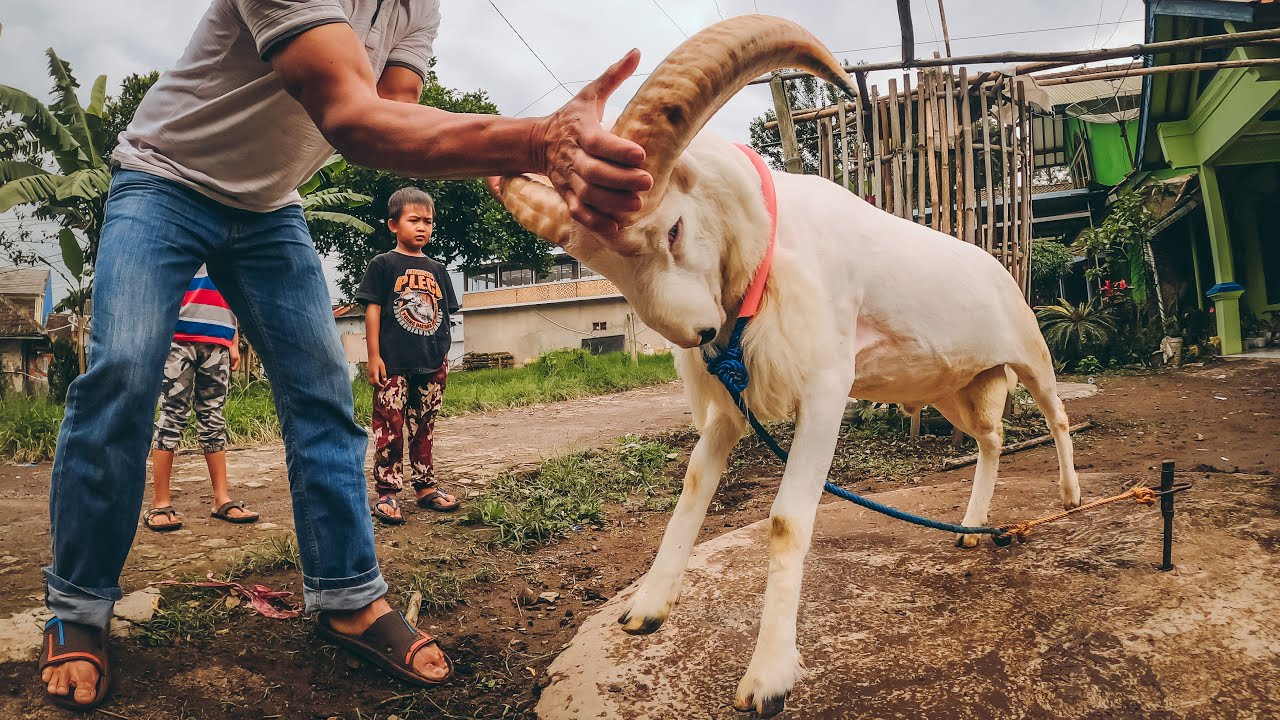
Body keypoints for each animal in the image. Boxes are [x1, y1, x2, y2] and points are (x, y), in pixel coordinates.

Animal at [492, 15, 1081, 717]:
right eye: (603, 268)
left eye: (672, 229)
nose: (698, 333)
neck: (769, 247)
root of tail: (995, 265)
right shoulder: (730, 402)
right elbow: (693, 486)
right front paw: (646, 611)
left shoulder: (826, 388)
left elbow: (784, 520)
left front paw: (768, 678)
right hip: (954, 389)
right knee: (991, 440)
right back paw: (970, 530)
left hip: (1029, 352)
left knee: (1056, 414)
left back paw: (1071, 497)